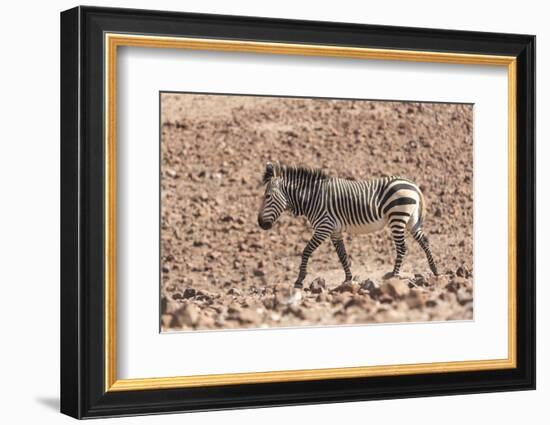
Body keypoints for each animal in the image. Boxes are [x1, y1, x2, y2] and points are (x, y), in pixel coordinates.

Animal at [258, 161, 440, 286]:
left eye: (267, 196)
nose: (260, 224)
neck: (313, 198)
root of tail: (413, 185)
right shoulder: (334, 230)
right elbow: (342, 254)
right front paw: (348, 279)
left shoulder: (324, 227)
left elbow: (306, 251)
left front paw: (299, 280)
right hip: (411, 220)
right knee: (424, 241)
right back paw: (435, 270)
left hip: (397, 217)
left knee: (402, 247)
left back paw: (394, 275)